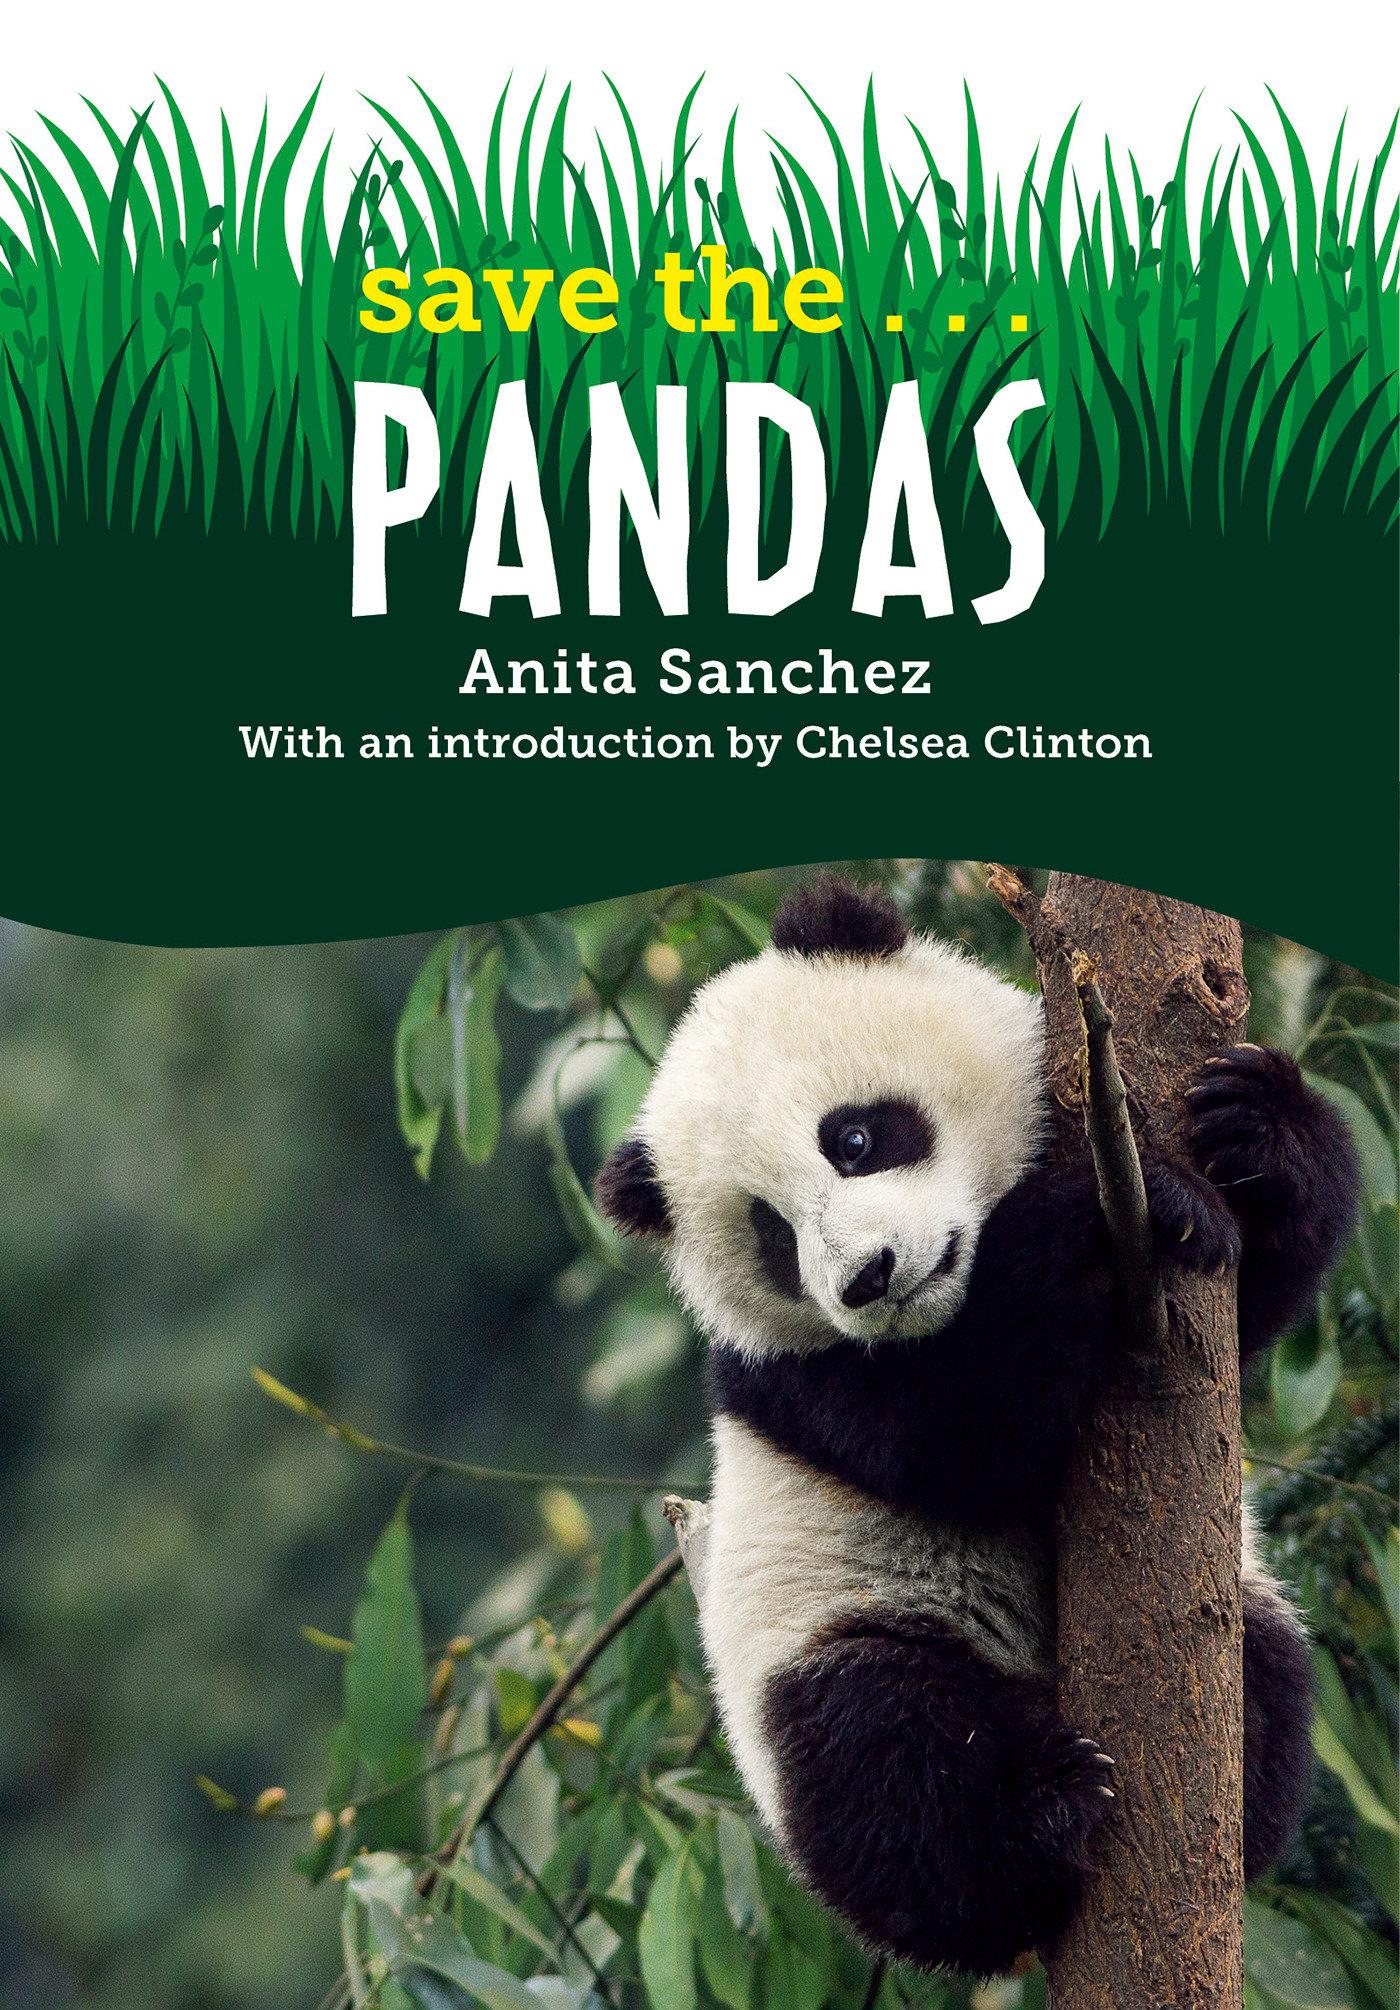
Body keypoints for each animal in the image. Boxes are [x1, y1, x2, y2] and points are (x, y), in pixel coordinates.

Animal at [594, 875, 1361, 1978]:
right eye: (771, 1236)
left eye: (854, 1138)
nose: (867, 1279)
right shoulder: (794, 1377)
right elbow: (956, 1437)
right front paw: (1101, 1211)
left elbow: (1254, 1297)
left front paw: (1255, 1127)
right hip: (831, 1633)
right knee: (884, 1761)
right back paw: (1038, 1819)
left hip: (1245, 1600)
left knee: (1268, 1667)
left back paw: (1239, 1792)